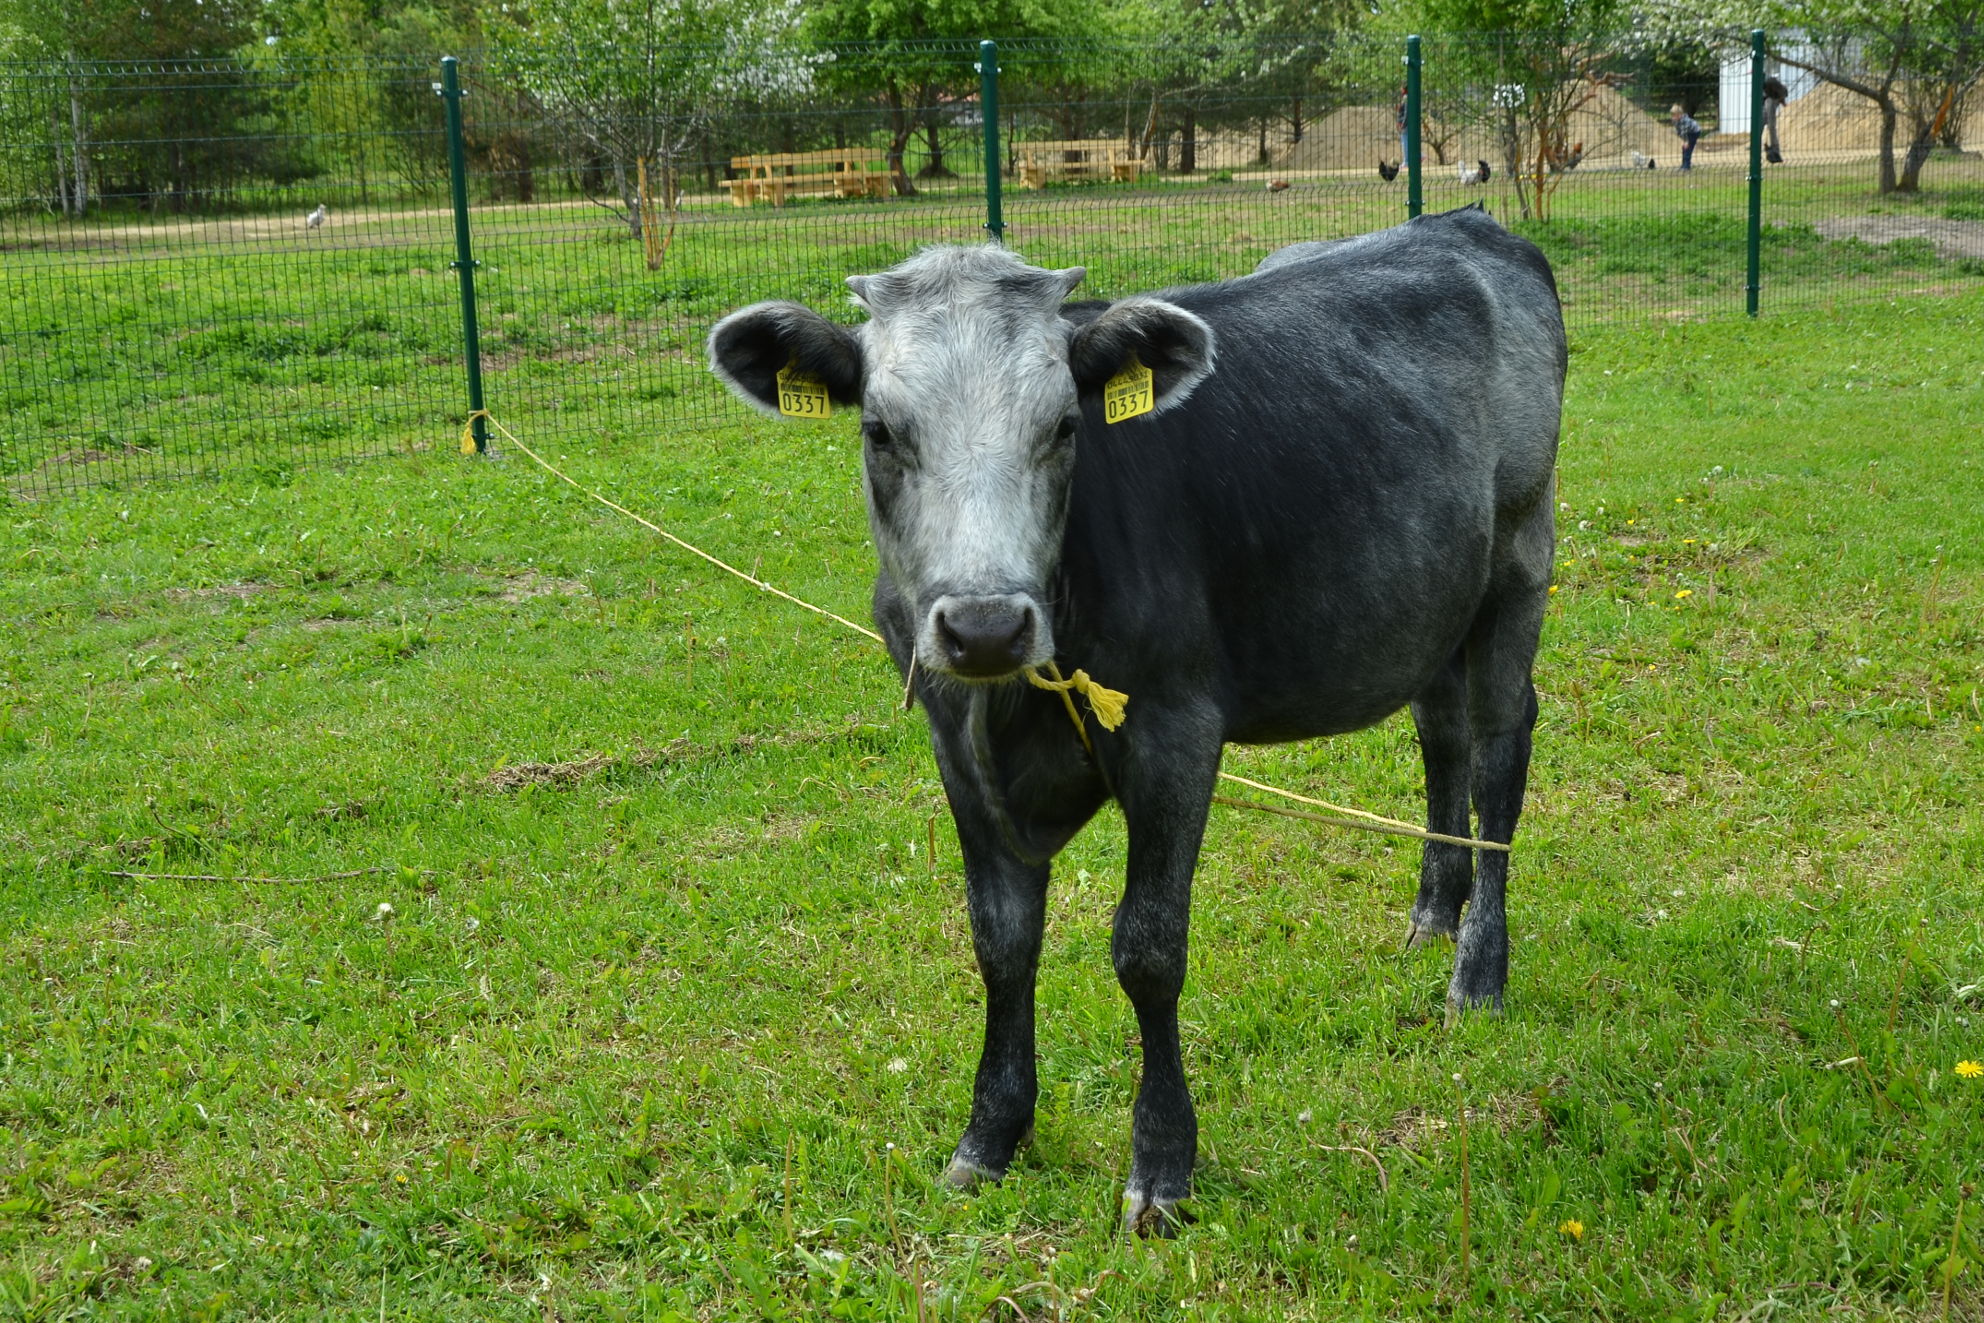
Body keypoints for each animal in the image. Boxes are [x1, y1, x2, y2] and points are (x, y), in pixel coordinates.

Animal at [707, 204, 1566, 1235]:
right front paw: (989, 1135)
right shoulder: (955, 748)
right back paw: (1435, 913)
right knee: (1440, 737)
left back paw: (1478, 969)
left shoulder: (1174, 733)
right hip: (1427, 598)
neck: (1011, 700)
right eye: (879, 430)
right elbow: (1002, 943)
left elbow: (1147, 948)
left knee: (1498, 754)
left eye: (1065, 425)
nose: (985, 624)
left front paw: (1162, 1163)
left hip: (1518, 560)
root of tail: (1463, 222)